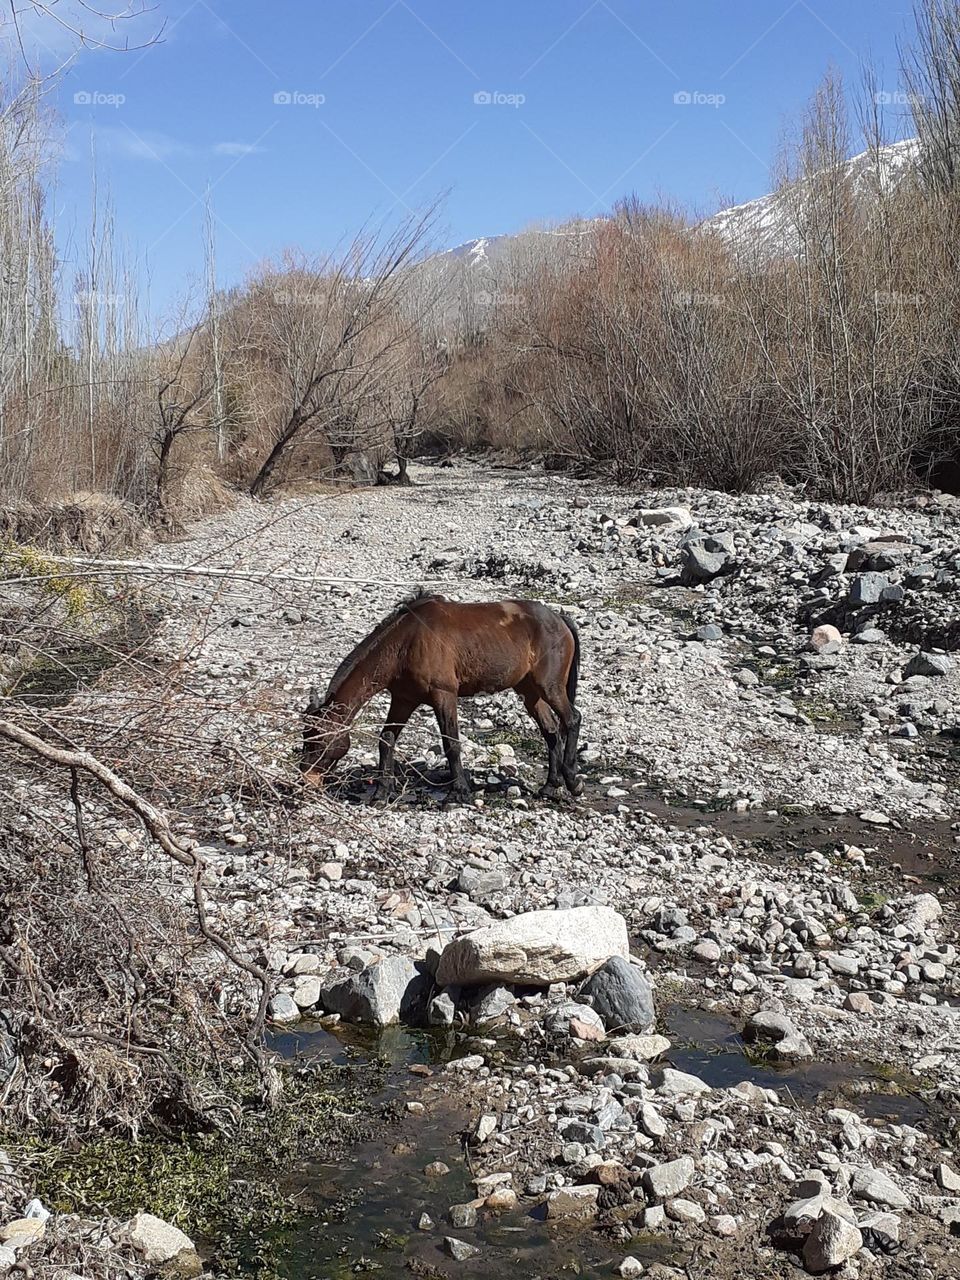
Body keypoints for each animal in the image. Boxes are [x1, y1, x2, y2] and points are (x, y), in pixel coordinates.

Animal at [304, 591, 583, 798]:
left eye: (318, 741)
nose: (306, 781)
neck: (405, 644)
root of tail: (560, 619)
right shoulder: (403, 700)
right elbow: (386, 739)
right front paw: (382, 791)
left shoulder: (443, 695)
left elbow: (451, 743)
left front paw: (459, 792)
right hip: (530, 692)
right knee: (550, 731)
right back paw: (550, 786)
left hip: (550, 687)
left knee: (572, 719)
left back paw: (572, 780)